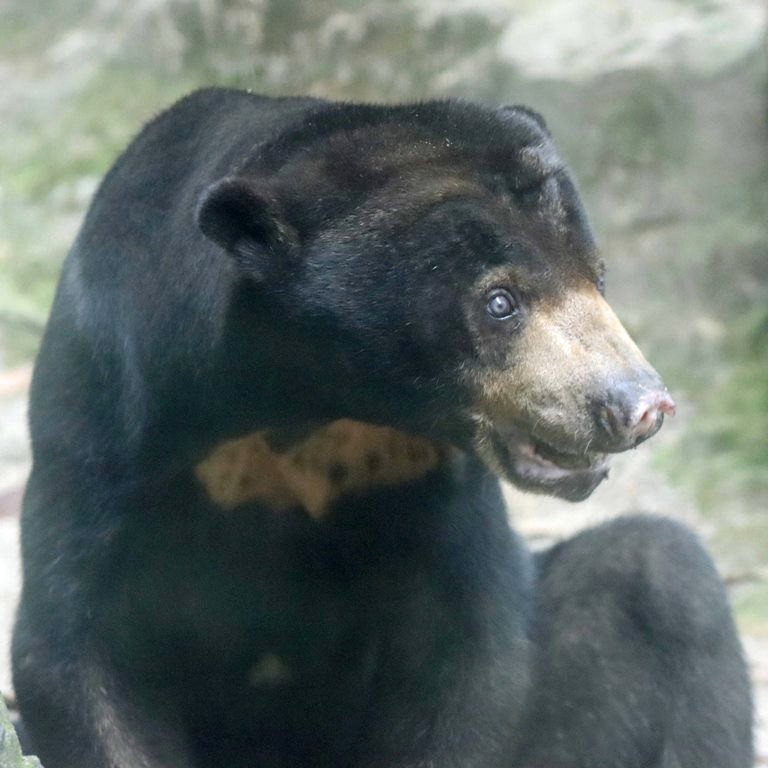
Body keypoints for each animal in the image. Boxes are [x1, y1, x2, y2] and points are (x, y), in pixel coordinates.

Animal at [12, 88, 752, 768]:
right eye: (500, 301)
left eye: (599, 277)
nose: (639, 406)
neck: (311, 402)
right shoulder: (114, 421)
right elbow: (77, 650)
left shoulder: (430, 470)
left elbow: (469, 649)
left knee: (663, 576)